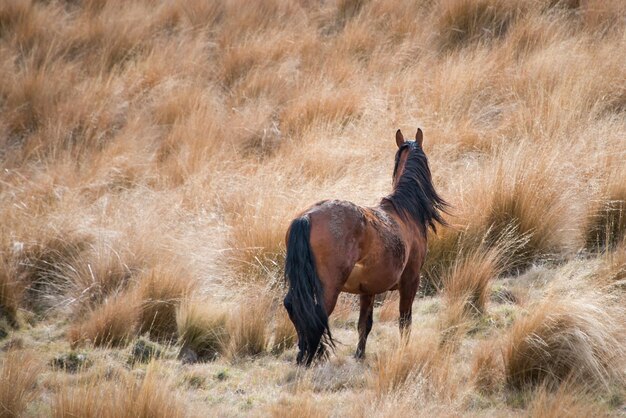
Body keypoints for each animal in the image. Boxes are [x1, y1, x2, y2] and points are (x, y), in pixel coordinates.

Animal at [282, 128, 448, 366]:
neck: (405, 212)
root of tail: (307, 217)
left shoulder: (367, 290)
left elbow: (364, 325)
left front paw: (360, 354)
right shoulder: (411, 281)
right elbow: (404, 321)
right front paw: (404, 351)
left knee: (293, 306)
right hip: (329, 287)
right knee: (315, 314)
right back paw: (310, 357)